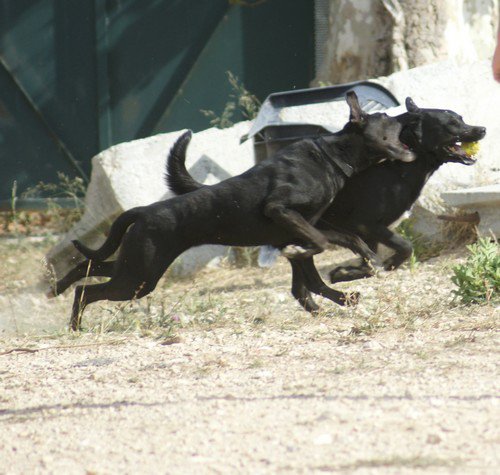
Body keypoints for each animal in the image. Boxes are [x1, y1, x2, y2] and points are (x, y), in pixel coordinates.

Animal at [49, 93, 414, 330]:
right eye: (386, 119)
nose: (410, 113)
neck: (331, 155)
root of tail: (143, 211)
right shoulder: (282, 211)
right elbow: (318, 248)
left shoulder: (304, 225)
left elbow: (337, 247)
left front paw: (358, 269)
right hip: (139, 275)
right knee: (87, 289)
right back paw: (75, 325)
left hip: (138, 265)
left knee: (89, 267)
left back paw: (57, 288)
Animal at [163, 97, 484, 312]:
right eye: (451, 123)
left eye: (462, 118)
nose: (481, 129)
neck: (396, 165)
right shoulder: (366, 225)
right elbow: (402, 248)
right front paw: (351, 272)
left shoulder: (365, 232)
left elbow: (371, 262)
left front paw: (349, 273)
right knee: (302, 279)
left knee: (299, 285)